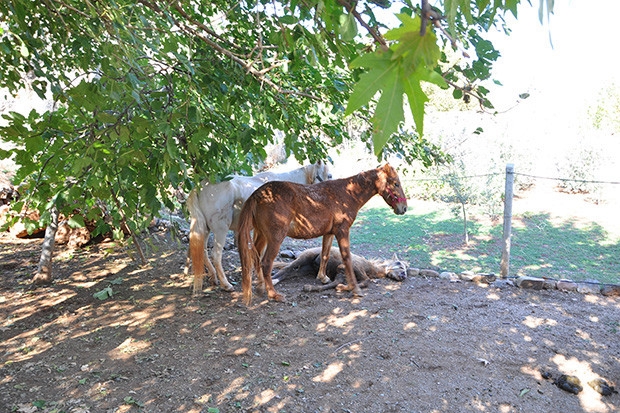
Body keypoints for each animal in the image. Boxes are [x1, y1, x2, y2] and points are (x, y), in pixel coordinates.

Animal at [186, 159, 332, 294]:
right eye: (329, 175)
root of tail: (201, 187)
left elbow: (258, 254)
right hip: (220, 230)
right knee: (216, 255)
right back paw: (226, 285)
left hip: (205, 229)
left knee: (203, 251)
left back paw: (213, 278)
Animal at [270, 246, 406, 292]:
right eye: (399, 263)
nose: (404, 275)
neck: (368, 267)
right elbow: (366, 281)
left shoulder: (340, 275)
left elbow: (336, 283)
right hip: (304, 257)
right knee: (285, 269)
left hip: (303, 270)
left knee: (288, 273)